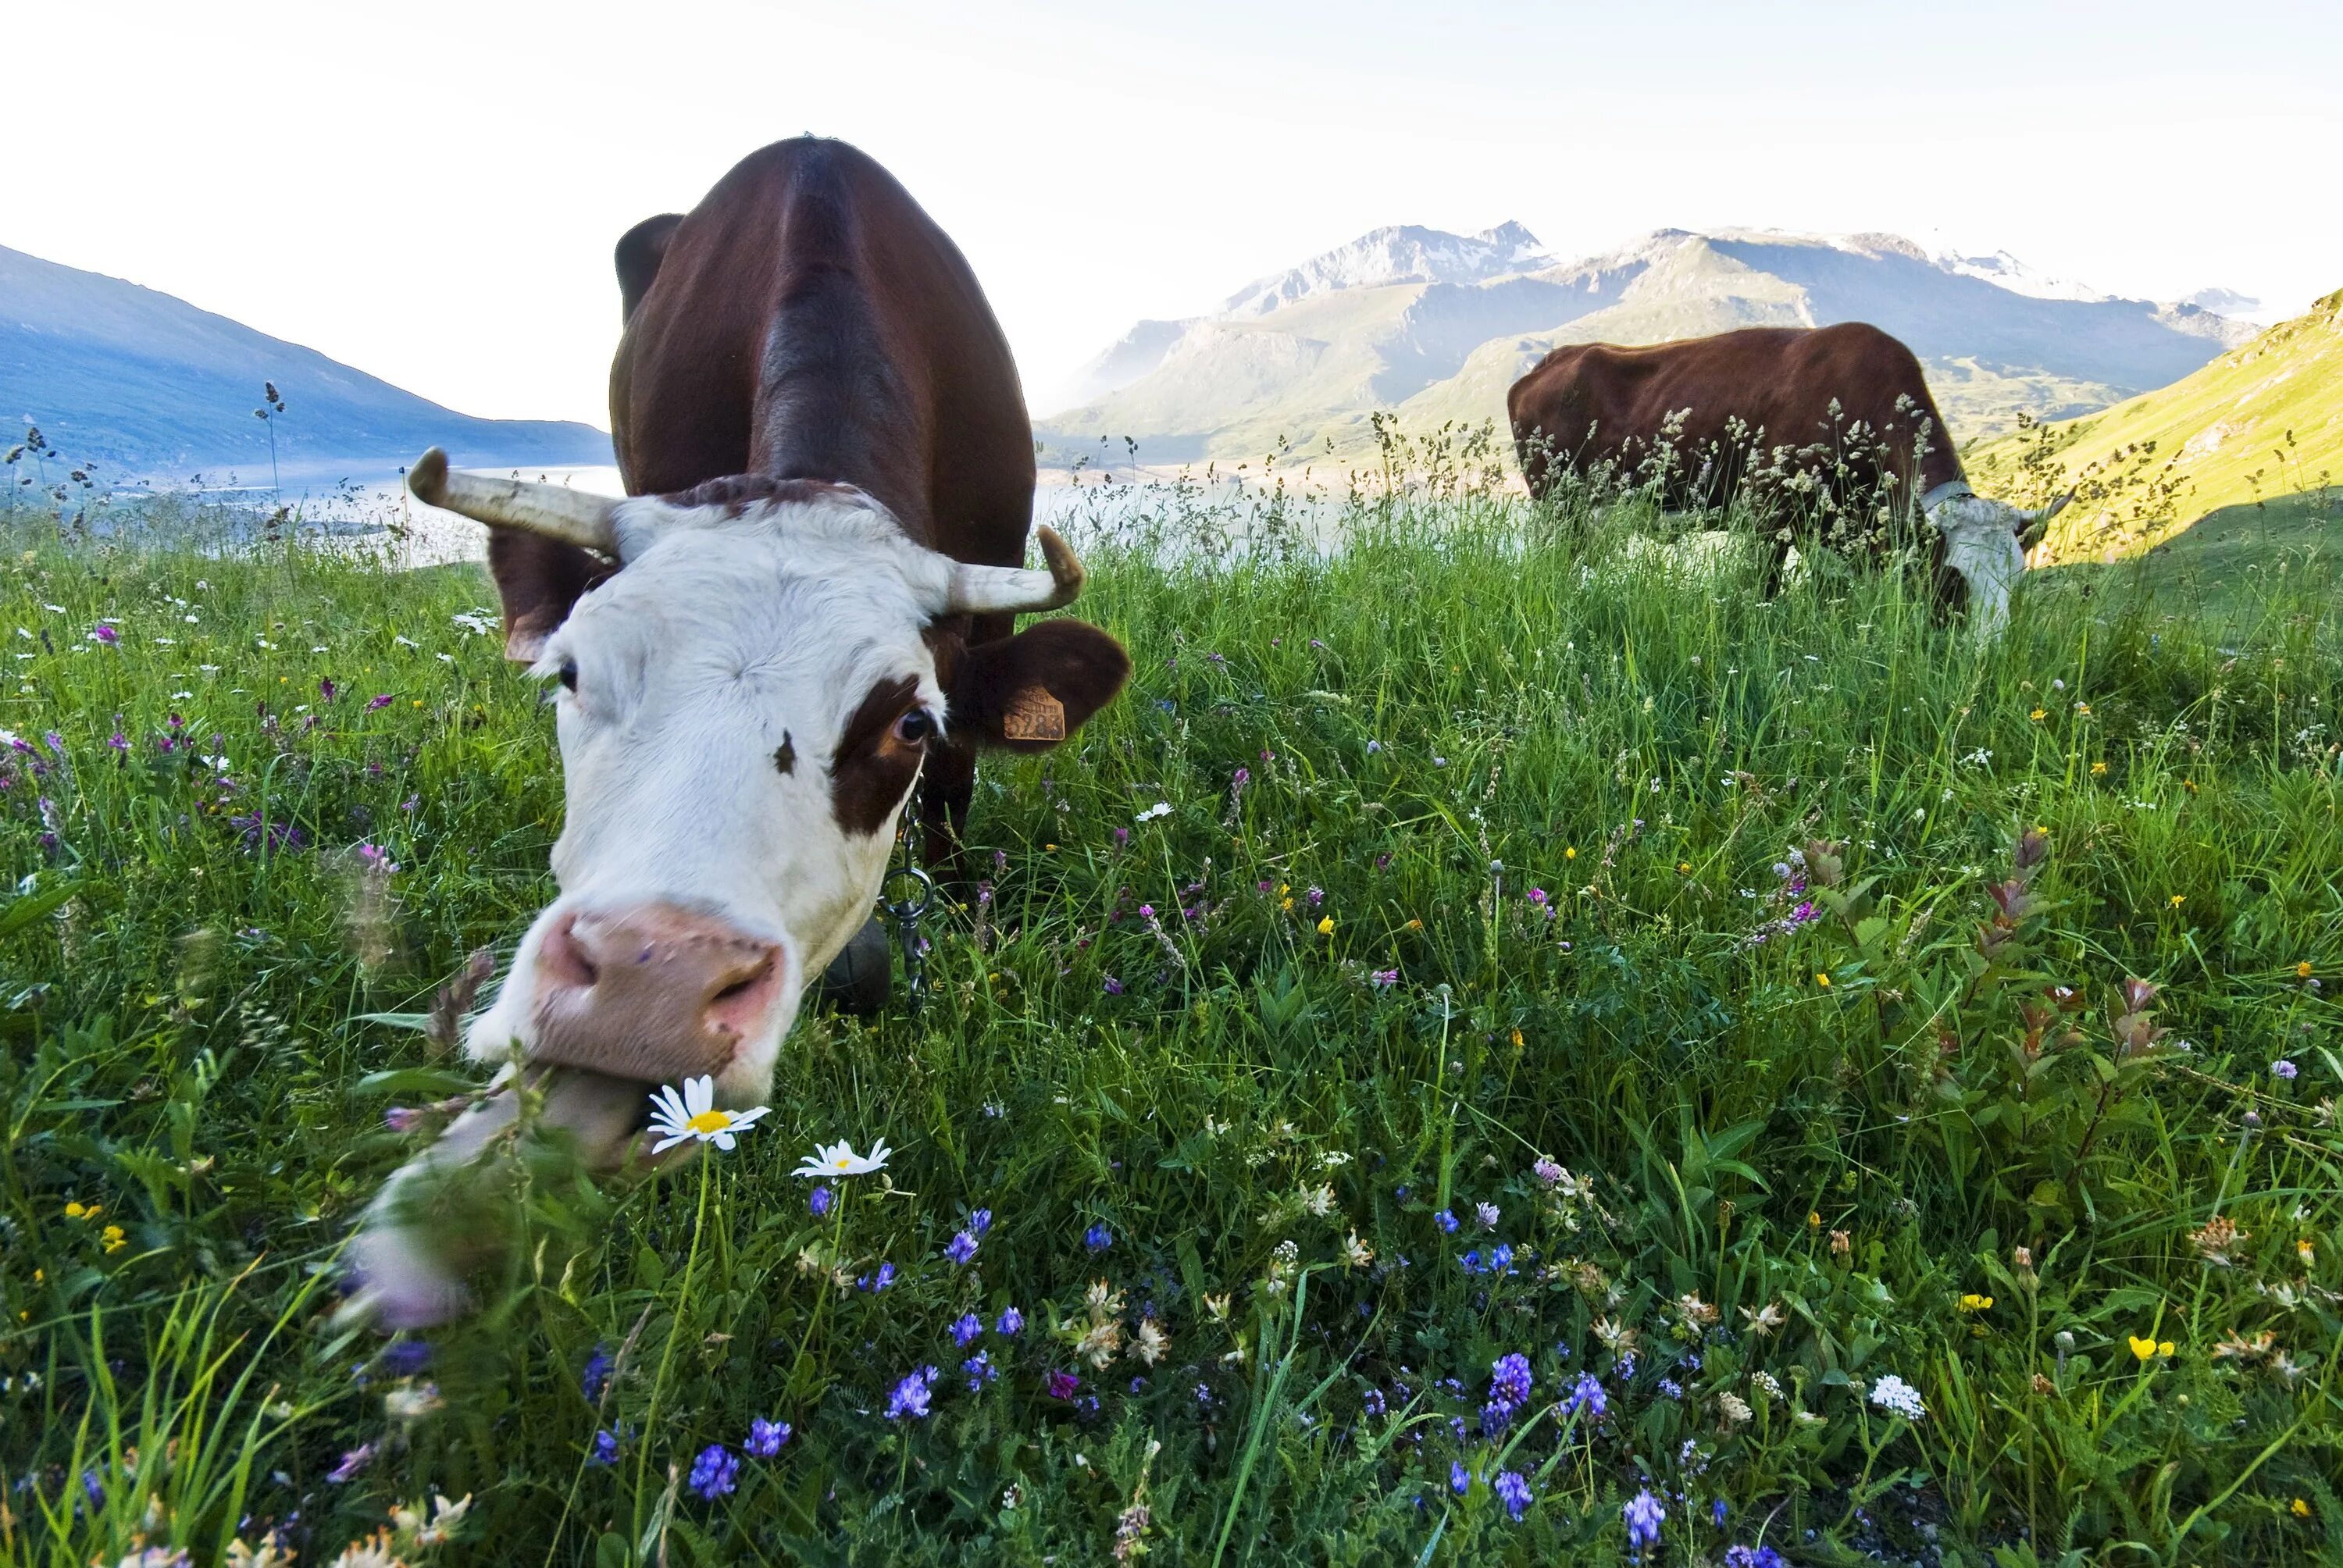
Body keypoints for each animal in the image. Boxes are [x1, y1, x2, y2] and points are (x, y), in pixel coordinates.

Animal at [1509, 323, 2062, 637]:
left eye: (2016, 578)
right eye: (1952, 579)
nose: (1984, 654)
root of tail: (1545, 365)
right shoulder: (1767, 515)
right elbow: (1765, 588)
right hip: (1559, 504)